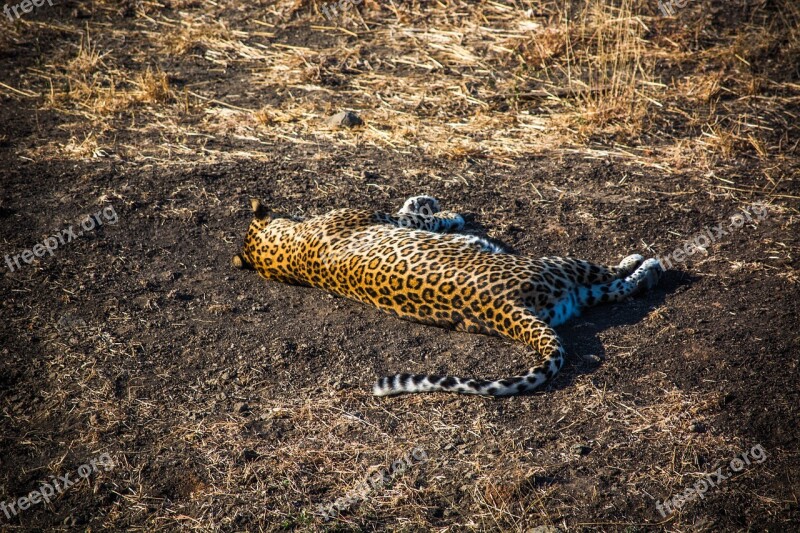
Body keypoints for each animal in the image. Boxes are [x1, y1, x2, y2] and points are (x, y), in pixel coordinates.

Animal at [233, 195, 664, 394]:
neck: (286, 254)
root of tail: (505, 307)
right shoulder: (385, 218)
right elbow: (419, 216)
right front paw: (442, 211)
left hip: (569, 297)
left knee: (616, 290)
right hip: (560, 264)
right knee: (619, 279)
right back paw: (648, 262)